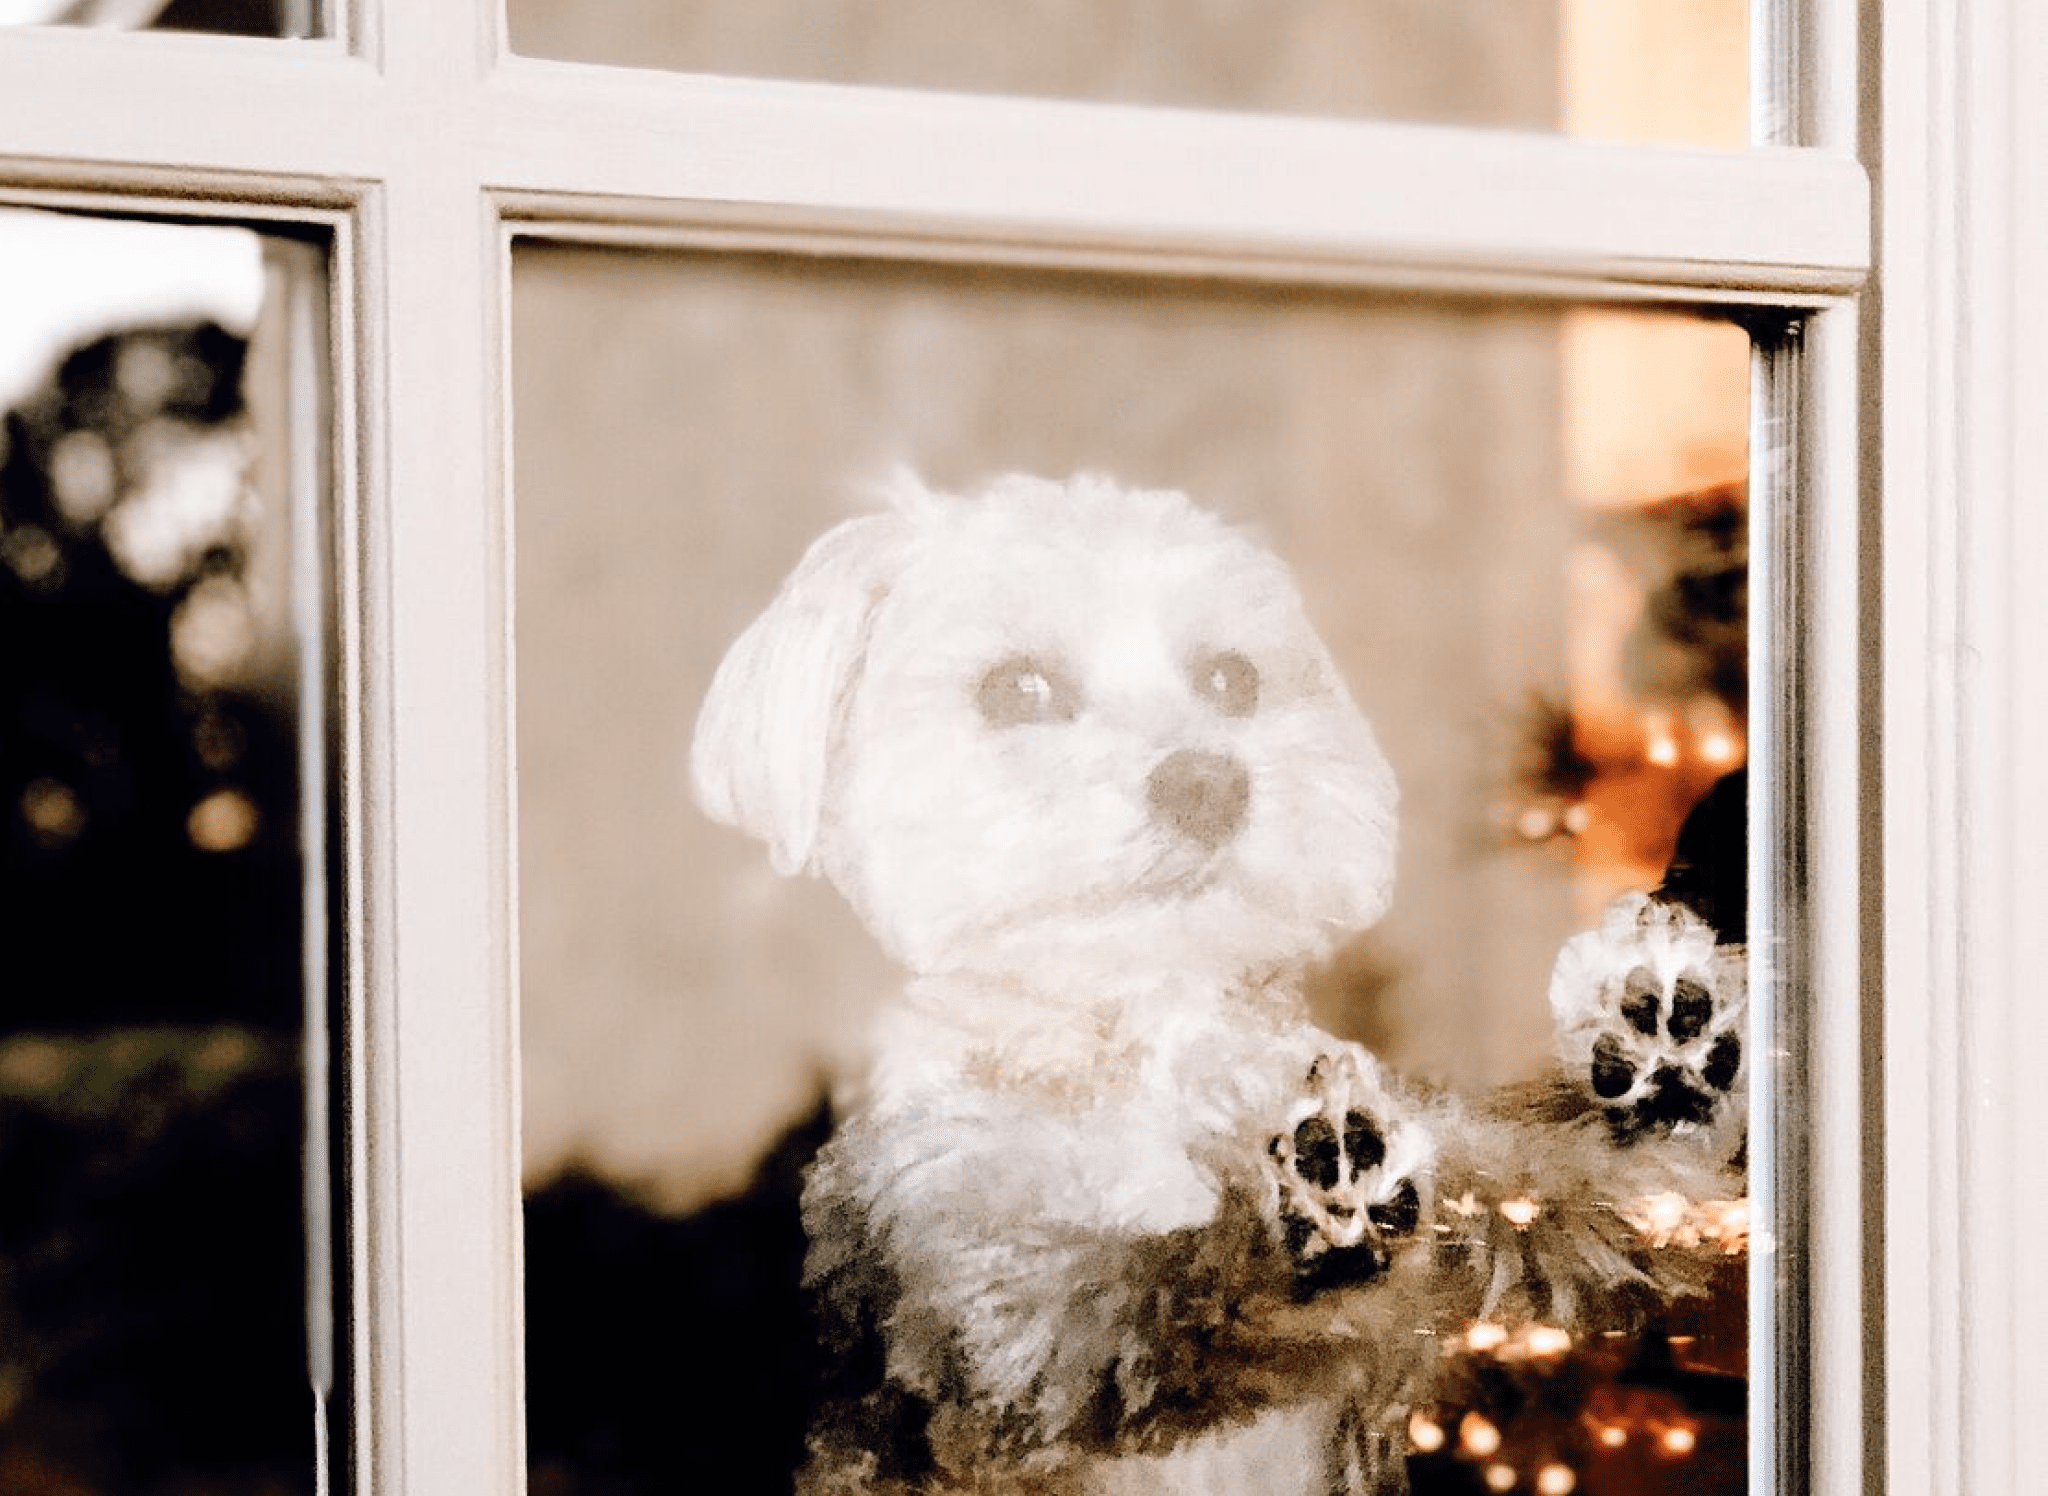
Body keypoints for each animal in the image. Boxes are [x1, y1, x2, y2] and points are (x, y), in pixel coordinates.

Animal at [692, 475, 1744, 1491]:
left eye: (1229, 678)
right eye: (1017, 687)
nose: (1208, 783)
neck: (1128, 1033)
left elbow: (1529, 1176)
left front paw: (1661, 1102)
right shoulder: (993, 1315)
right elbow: (1155, 1289)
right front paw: (1318, 1213)